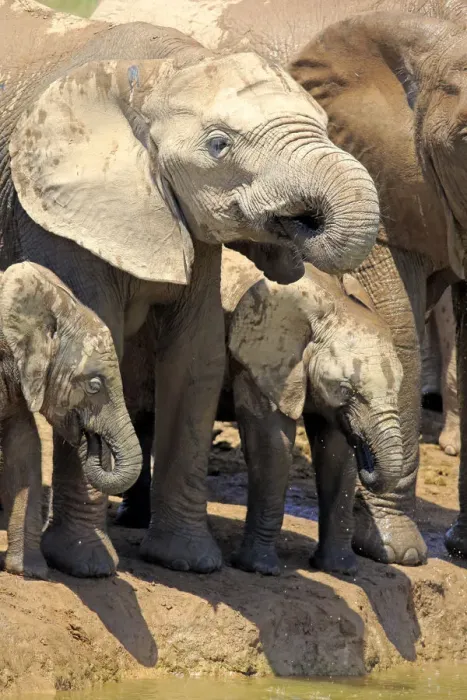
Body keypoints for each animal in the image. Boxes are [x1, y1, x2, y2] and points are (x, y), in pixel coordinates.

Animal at [116, 247, 404, 577]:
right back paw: (133, 522)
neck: (330, 301)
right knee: (140, 411)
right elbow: (271, 444)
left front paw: (340, 570)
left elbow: (336, 454)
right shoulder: (256, 359)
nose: (368, 459)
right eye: (347, 389)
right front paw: (260, 569)